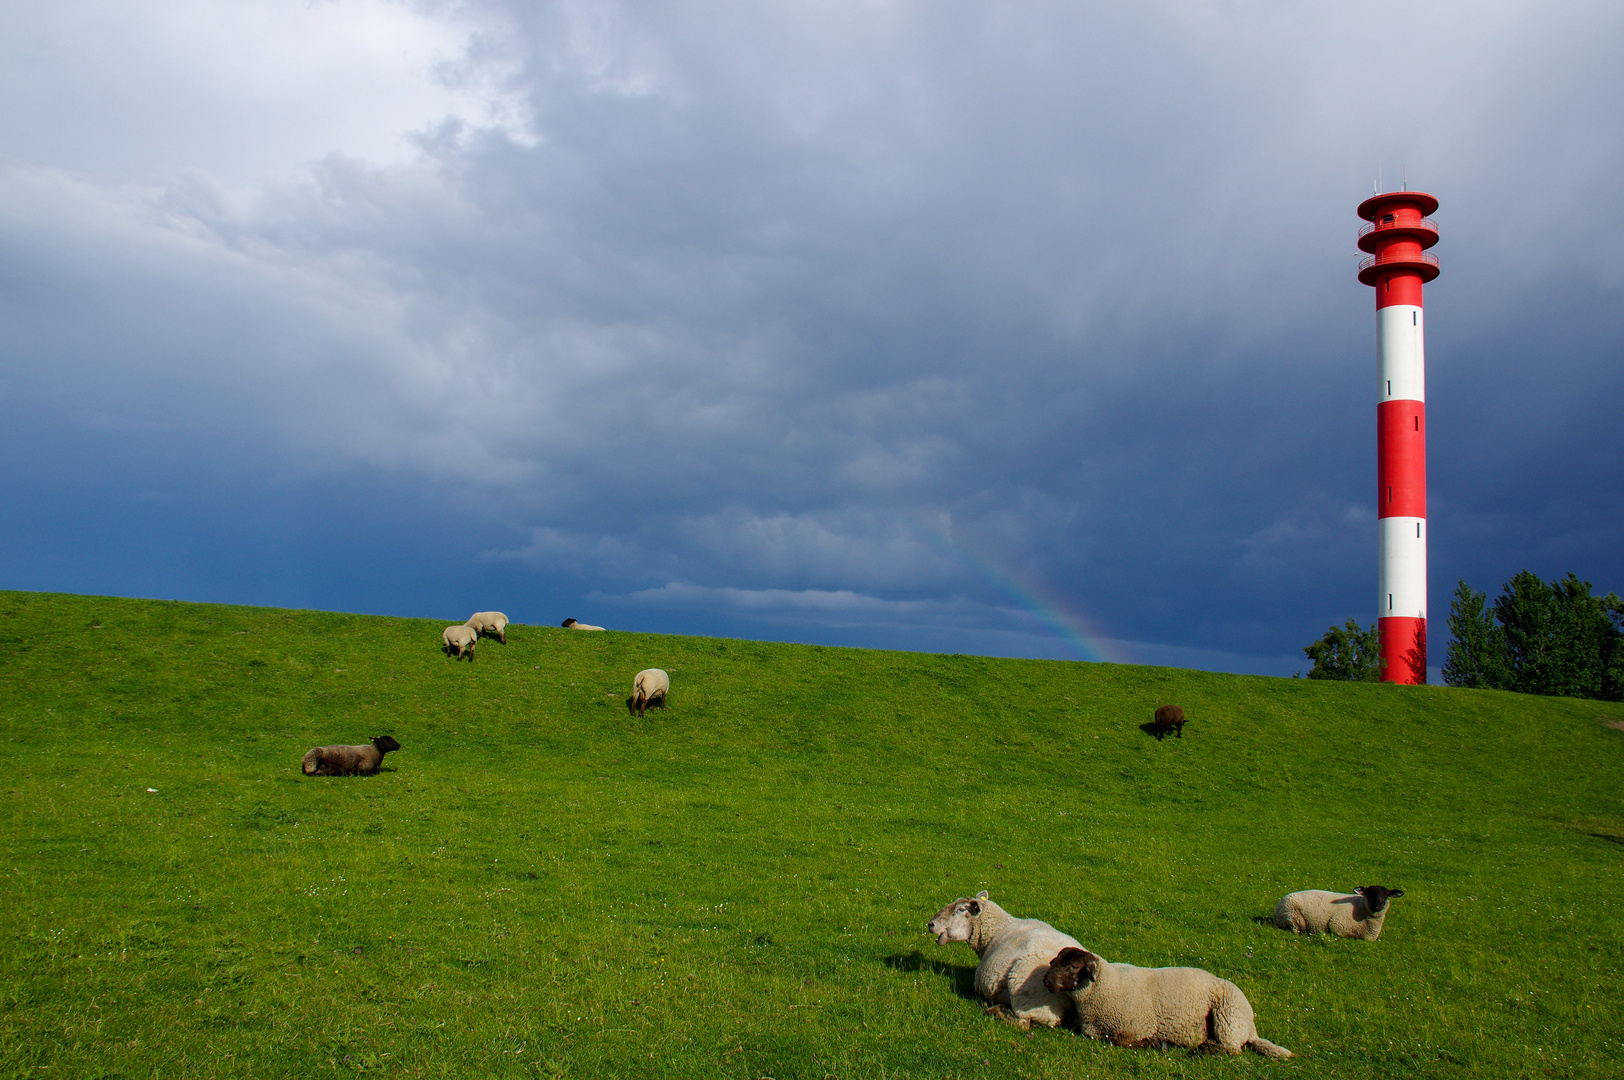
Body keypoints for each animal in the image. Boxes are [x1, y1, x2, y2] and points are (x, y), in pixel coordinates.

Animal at [928, 889, 1078, 1032]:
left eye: (960, 909)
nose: (930, 924)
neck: (996, 929)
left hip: (1029, 998)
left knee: (1023, 1023)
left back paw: (995, 1009)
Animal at [1039, 941, 1292, 1052]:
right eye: (1055, 960)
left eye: (1073, 966)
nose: (1046, 981)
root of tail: (1252, 1029)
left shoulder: (1134, 1029)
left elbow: (1124, 1041)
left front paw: (1156, 1044)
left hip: (1228, 1017)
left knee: (1232, 1049)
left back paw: (1200, 1048)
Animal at [1273, 883, 1403, 935]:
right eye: (1369, 893)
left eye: (1386, 894)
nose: (1378, 904)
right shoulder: (1337, 926)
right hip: (1294, 917)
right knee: (1297, 929)